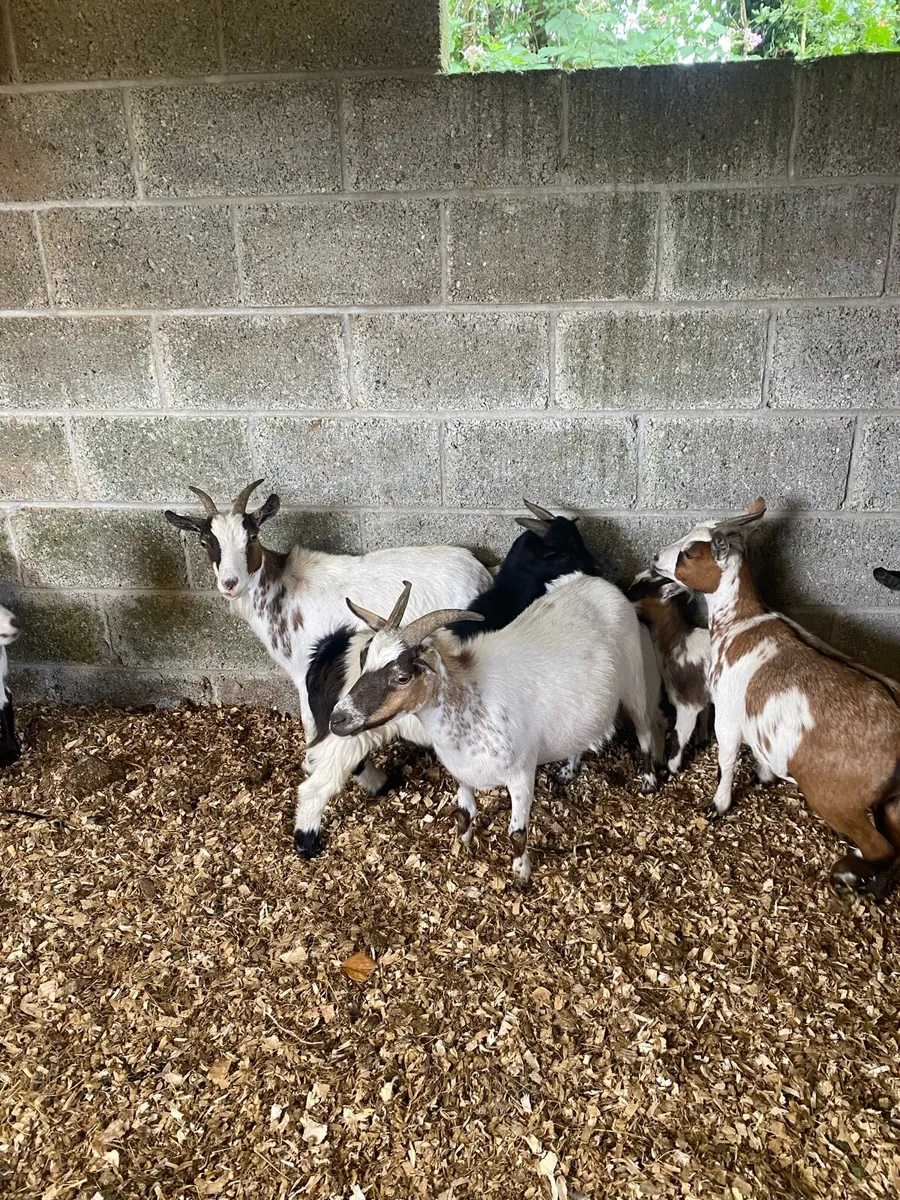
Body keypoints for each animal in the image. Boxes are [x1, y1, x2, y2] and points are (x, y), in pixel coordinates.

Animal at [164, 481, 492, 857]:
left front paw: (312, 762)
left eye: (252, 537)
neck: (282, 591)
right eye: (206, 541)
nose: (230, 583)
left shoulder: (303, 673)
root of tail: (482, 573)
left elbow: (311, 723)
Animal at [329, 575, 664, 886]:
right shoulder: (462, 773)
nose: (338, 719)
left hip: (635, 680)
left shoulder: (521, 775)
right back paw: (568, 770)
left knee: (646, 733)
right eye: (363, 660)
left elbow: (517, 832)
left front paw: (520, 873)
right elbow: (464, 813)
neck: (471, 698)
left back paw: (649, 781)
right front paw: (462, 844)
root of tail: (597, 582)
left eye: (401, 677)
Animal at [628, 569, 711, 775]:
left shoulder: (688, 700)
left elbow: (678, 733)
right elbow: (704, 715)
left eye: (639, 592)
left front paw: (672, 766)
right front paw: (702, 740)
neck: (677, 644)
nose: (623, 593)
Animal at [654, 498, 900, 899]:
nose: (657, 557)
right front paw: (765, 775)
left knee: (881, 849)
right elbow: (757, 750)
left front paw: (718, 804)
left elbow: (726, 759)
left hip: (837, 799)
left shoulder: (728, 713)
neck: (740, 623)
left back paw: (847, 874)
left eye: (690, 553)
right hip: (894, 803)